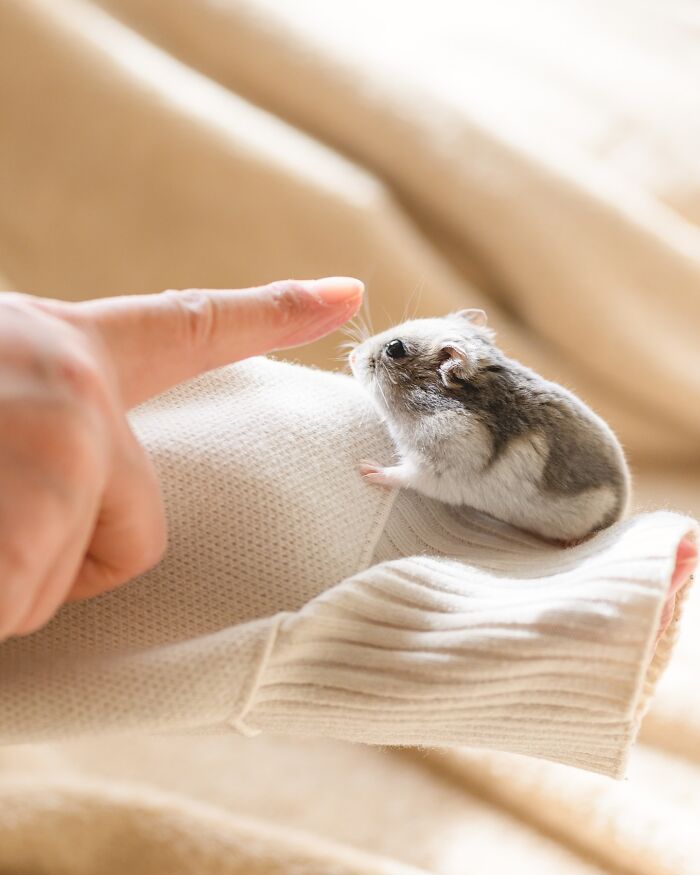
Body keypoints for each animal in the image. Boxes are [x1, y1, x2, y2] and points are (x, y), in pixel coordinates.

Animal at [349, 309, 630, 544]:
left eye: (394, 348)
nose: (352, 355)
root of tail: (619, 511)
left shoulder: (436, 467)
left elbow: (403, 474)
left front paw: (366, 470)